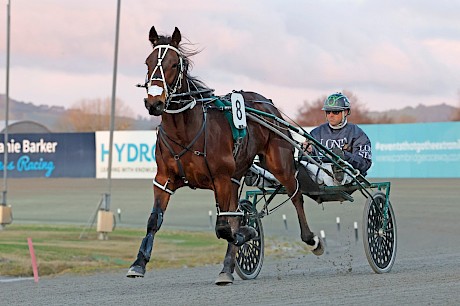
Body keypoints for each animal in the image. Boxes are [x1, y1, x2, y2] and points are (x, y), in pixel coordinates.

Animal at [126, 26, 326, 284]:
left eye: (174, 64)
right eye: (148, 62)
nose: (155, 103)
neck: (186, 129)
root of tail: (267, 103)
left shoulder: (220, 177)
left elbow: (224, 227)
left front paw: (246, 234)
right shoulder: (164, 179)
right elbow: (154, 220)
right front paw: (138, 264)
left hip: (278, 163)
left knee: (295, 195)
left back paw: (311, 240)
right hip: (235, 176)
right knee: (236, 212)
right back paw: (229, 265)